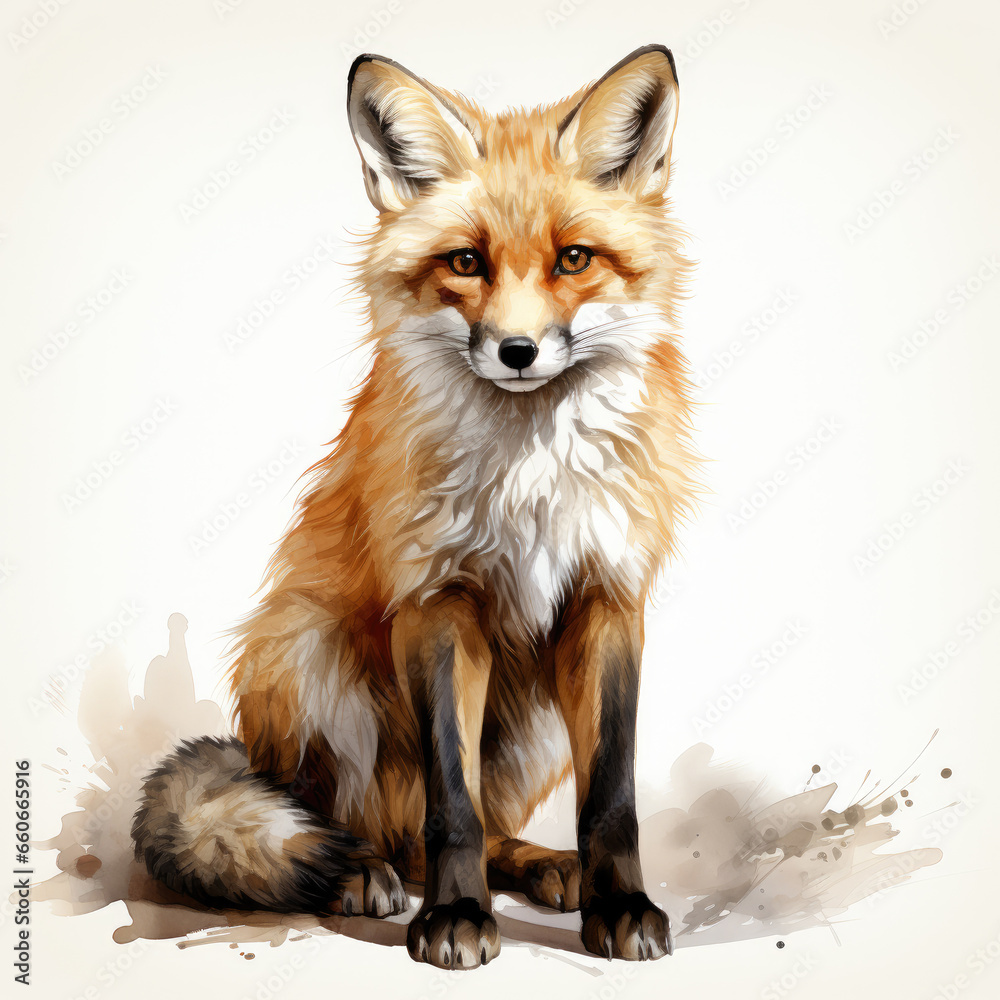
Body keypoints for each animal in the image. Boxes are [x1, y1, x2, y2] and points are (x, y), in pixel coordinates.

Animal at [132, 44, 698, 970]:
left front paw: (620, 905)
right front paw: (455, 918)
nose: (517, 350)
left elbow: (611, 796)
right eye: (465, 263)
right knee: (360, 824)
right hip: (310, 658)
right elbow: (451, 805)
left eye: (574, 259)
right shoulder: (438, 604)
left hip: (535, 725)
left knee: (469, 826)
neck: (529, 473)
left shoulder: (608, 598)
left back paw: (545, 865)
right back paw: (362, 873)